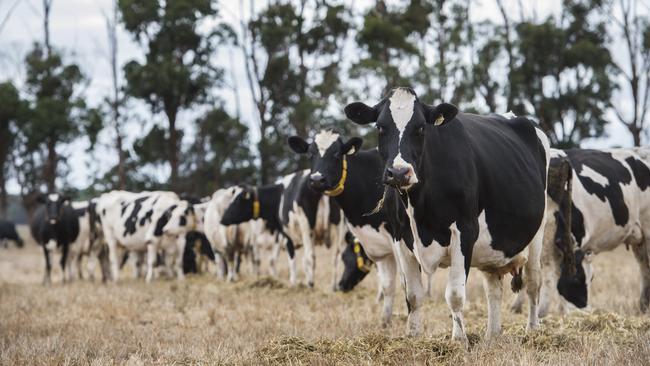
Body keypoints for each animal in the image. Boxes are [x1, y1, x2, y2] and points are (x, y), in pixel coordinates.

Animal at [344, 88, 548, 344]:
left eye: (421, 127)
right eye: (380, 127)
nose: (399, 173)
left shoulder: (465, 230)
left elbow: (455, 294)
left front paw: (459, 341)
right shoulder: (399, 236)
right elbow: (413, 295)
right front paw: (413, 337)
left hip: (537, 234)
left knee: (533, 282)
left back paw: (532, 330)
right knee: (493, 289)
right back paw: (492, 334)